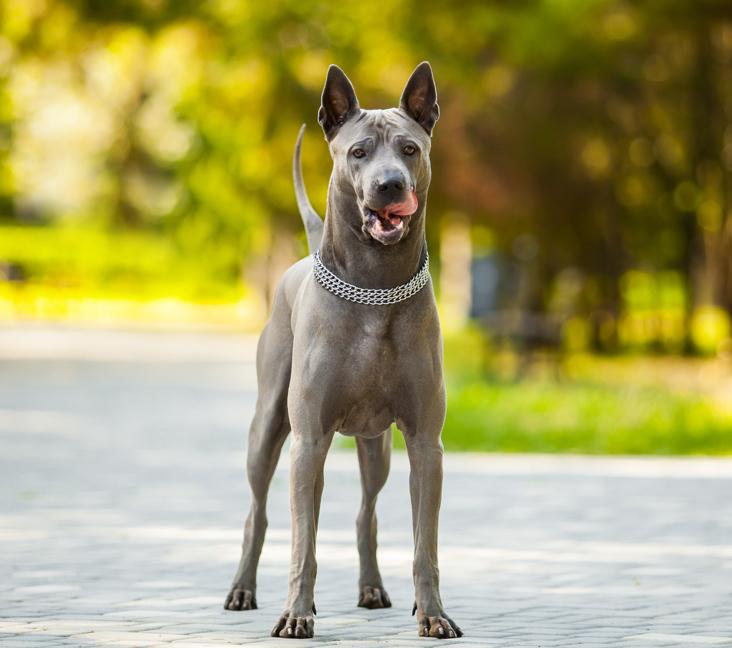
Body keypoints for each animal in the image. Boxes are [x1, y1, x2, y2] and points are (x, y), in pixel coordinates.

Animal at [224, 62, 464, 644]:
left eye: (410, 149)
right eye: (359, 152)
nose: (390, 184)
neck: (375, 287)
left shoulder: (426, 443)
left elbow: (425, 545)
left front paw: (434, 615)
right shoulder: (309, 440)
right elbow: (302, 543)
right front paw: (296, 614)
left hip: (376, 446)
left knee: (365, 512)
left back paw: (372, 588)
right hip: (270, 428)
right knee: (261, 512)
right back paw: (243, 590)